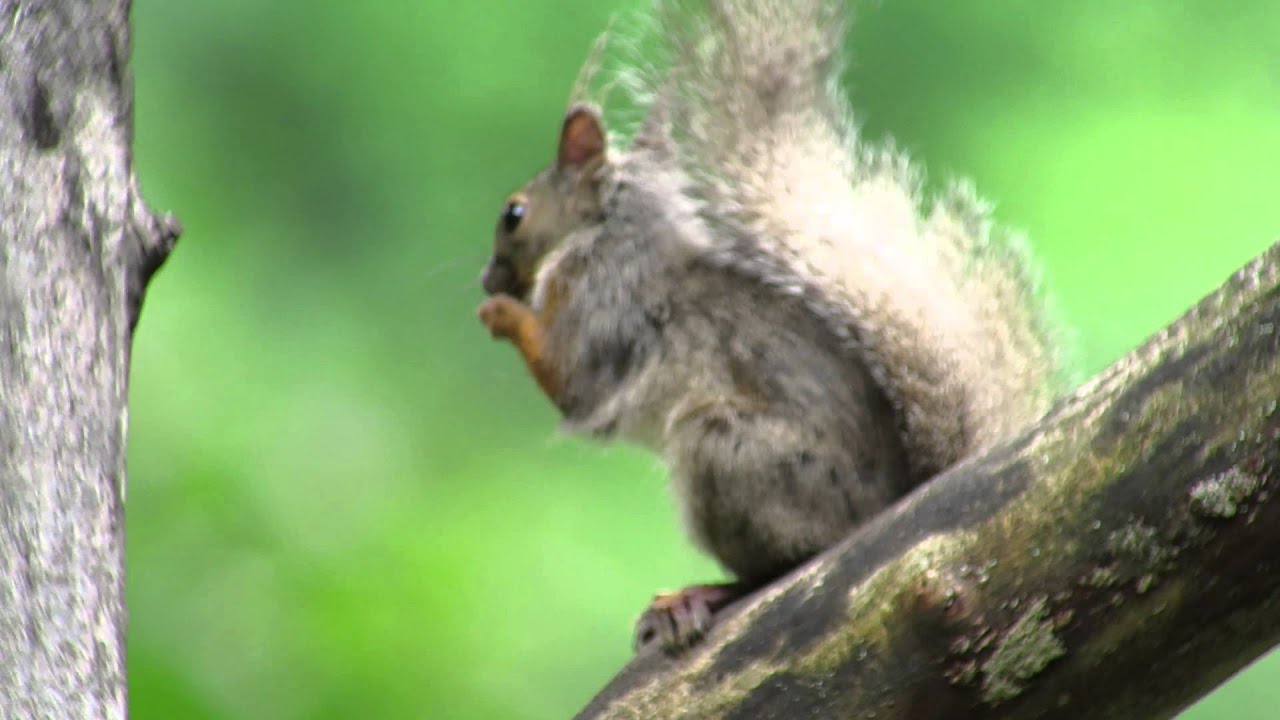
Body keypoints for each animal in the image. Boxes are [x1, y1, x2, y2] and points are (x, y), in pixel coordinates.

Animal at [478, 0, 1065, 654]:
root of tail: (889, 508)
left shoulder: (605, 308)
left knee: (780, 569)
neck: (611, 232)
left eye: (514, 213)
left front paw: (503, 316)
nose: (484, 280)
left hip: (728, 452)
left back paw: (696, 596)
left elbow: (573, 385)